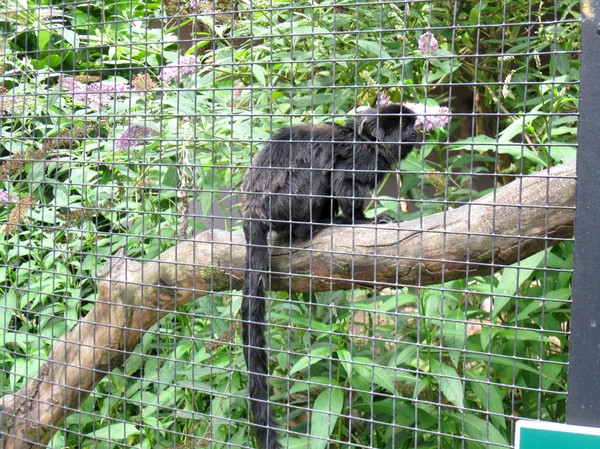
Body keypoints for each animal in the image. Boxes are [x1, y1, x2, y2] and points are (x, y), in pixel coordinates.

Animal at [239, 102, 418, 448]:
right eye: (405, 126)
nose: (419, 131)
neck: (369, 141)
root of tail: (254, 207)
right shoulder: (361, 157)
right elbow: (342, 183)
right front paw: (363, 220)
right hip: (287, 201)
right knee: (318, 177)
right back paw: (317, 225)